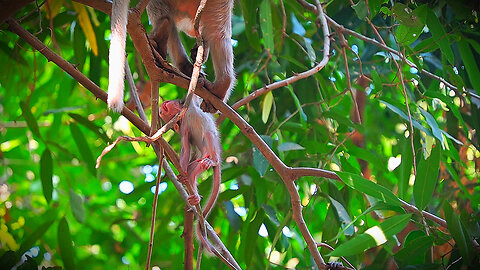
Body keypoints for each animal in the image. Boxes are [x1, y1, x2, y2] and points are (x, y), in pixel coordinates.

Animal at [160, 94, 222, 251]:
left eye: (164, 109)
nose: (162, 107)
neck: (184, 112)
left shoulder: (192, 104)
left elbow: (196, 98)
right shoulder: (183, 128)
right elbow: (186, 147)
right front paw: (181, 173)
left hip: (208, 152)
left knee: (209, 134)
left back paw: (213, 161)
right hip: (199, 160)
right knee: (192, 171)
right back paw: (194, 196)